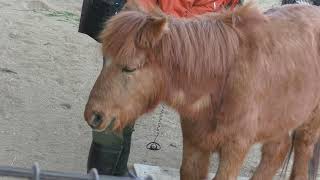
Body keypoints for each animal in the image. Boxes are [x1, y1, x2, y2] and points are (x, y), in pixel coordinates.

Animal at [84, 2, 320, 179]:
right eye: (104, 59)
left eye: (129, 68)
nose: (93, 115)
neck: (225, 78)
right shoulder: (195, 143)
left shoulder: (235, 149)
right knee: (277, 151)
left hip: (309, 124)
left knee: (301, 152)